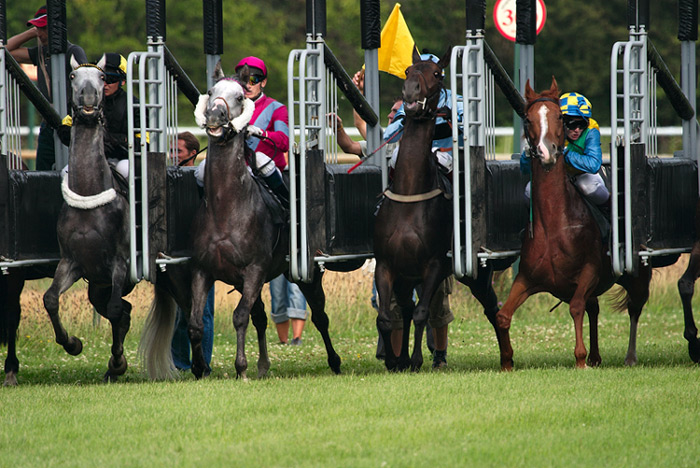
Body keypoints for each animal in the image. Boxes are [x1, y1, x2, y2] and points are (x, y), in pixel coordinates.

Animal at [374, 46, 500, 370]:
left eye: (437, 73)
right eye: (408, 71)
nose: (410, 92)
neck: (410, 191)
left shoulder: (433, 265)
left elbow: (422, 314)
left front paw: (416, 359)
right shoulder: (387, 265)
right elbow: (386, 318)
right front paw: (394, 360)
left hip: (476, 275)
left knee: (493, 308)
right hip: (407, 277)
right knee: (406, 309)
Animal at [494, 78, 652, 372]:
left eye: (559, 116)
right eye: (528, 119)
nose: (546, 152)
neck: (555, 226)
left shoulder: (589, 270)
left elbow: (576, 307)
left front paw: (579, 358)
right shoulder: (526, 277)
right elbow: (502, 315)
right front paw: (507, 361)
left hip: (636, 275)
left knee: (634, 308)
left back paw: (629, 356)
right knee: (595, 308)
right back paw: (596, 356)